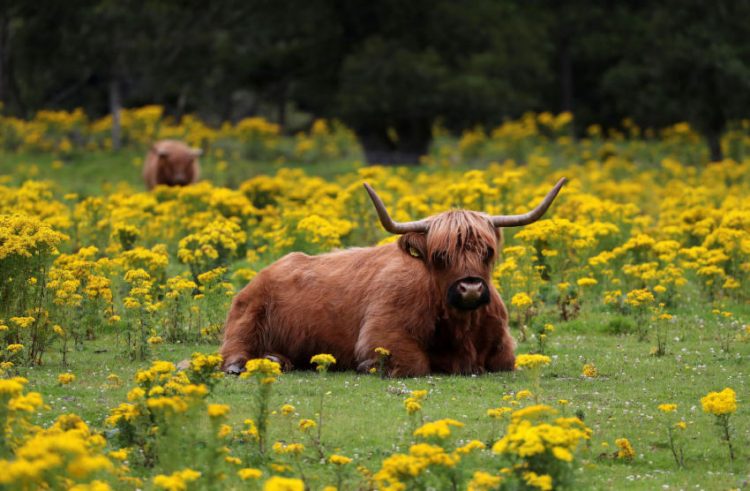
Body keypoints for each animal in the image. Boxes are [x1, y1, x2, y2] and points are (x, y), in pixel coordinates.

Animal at [220, 179, 568, 378]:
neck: (462, 329)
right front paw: (369, 367)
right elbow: (416, 365)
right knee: (233, 351)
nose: (470, 288)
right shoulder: (382, 333)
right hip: (246, 317)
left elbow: (505, 361)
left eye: (487, 251)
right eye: (440, 255)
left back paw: (277, 360)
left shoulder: (503, 349)